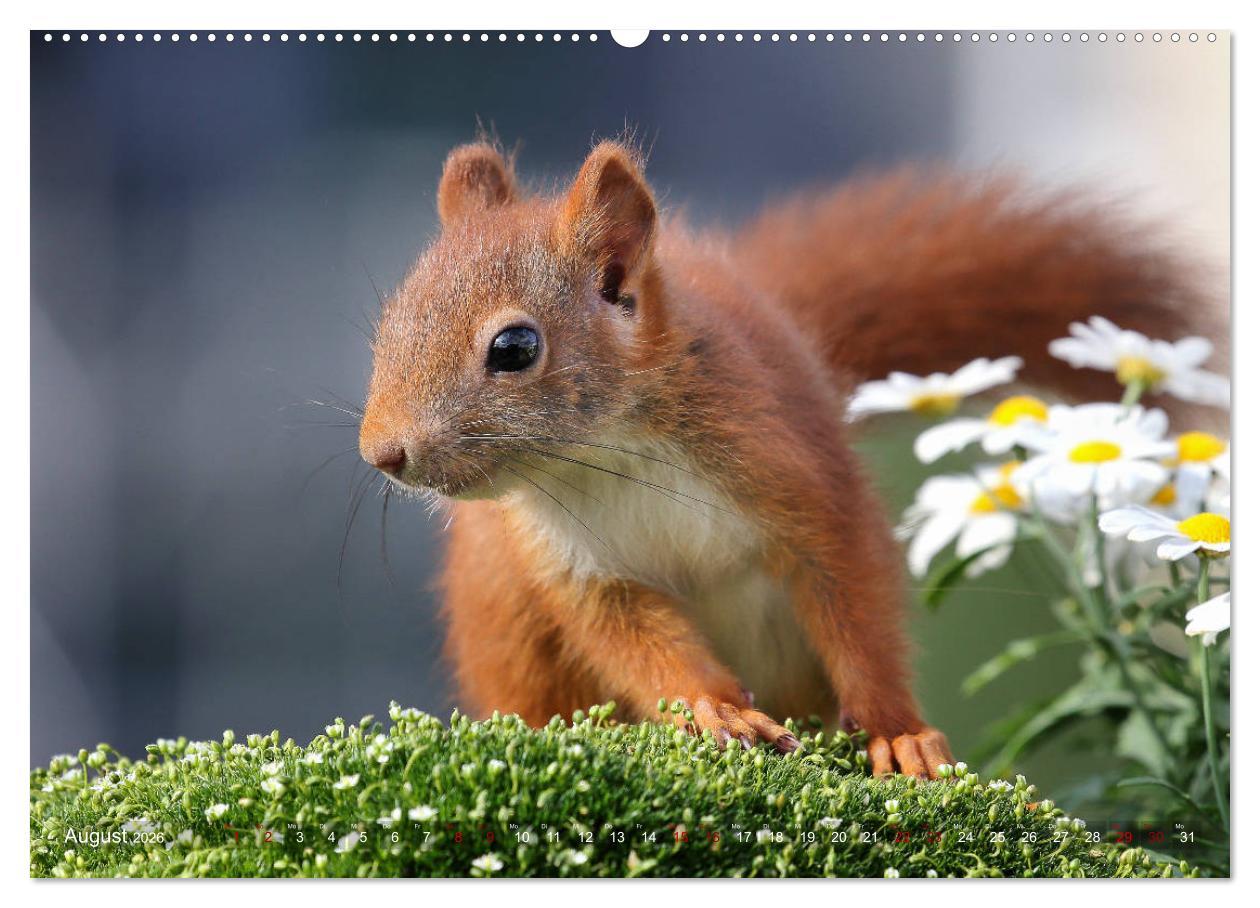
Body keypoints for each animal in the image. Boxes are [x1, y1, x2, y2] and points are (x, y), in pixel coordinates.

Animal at [358, 140, 1216, 778]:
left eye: (514, 347)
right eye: (389, 323)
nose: (382, 453)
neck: (608, 455)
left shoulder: (802, 478)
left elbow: (857, 604)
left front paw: (899, 732)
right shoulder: (577, 568)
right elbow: (639, 647)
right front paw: (716, 709)